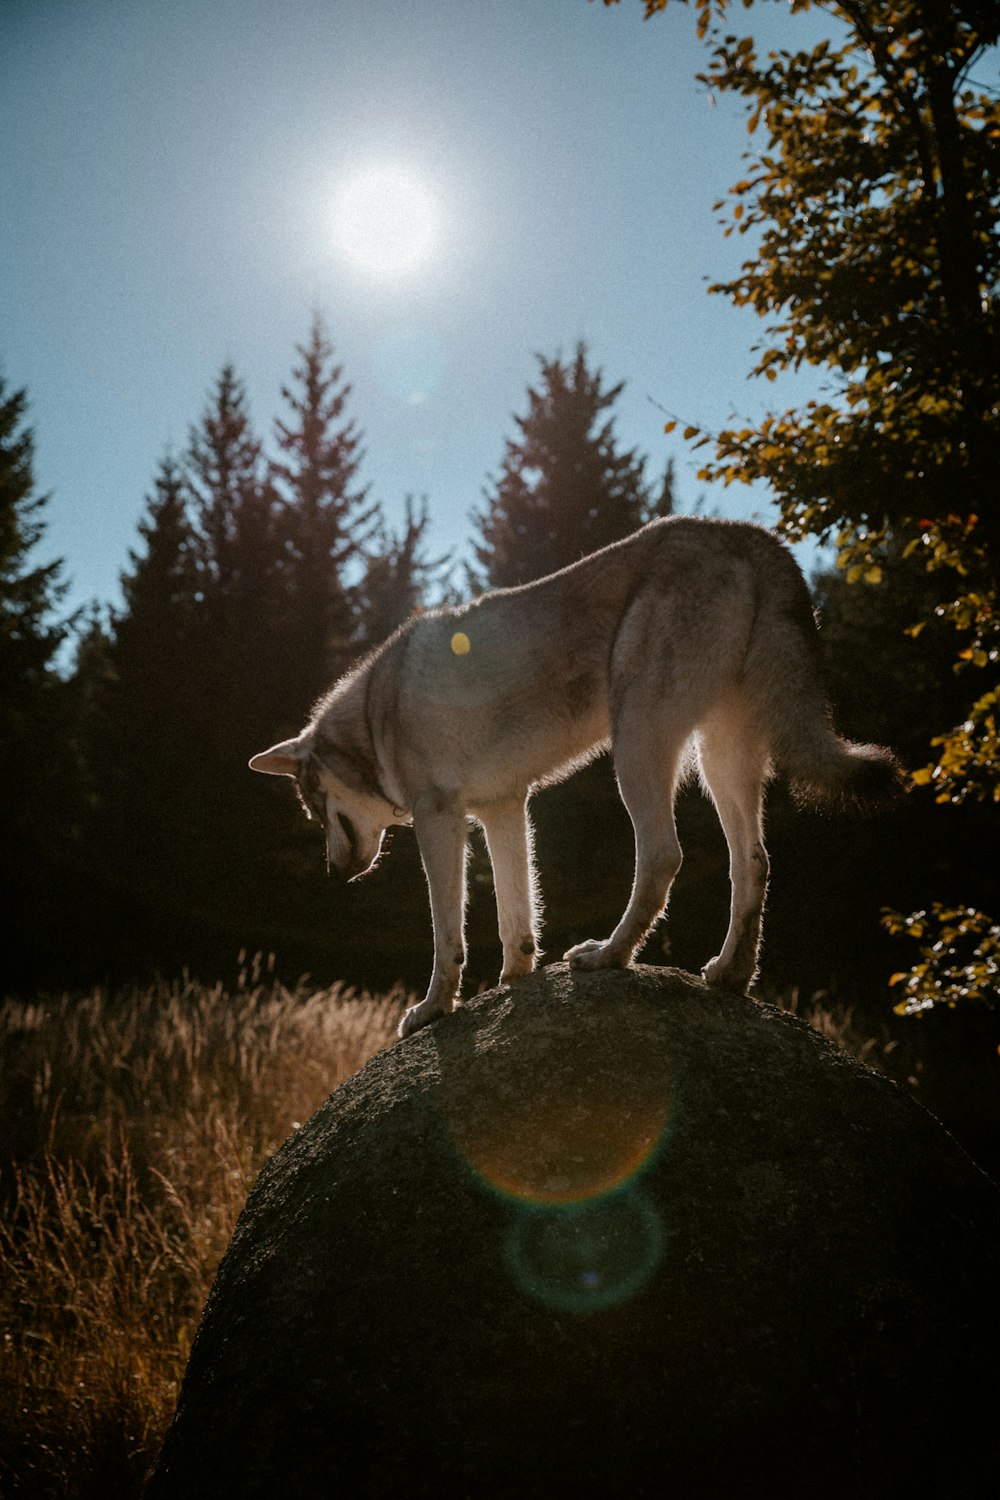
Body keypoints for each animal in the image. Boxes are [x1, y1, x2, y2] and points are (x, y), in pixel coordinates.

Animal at [250, 516, 899, 1032]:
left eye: (313, 809)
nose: (334, 873)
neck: (375, 711)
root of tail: (744, 533)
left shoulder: (442, 821)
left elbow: (447, 937)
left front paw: (434, 1009)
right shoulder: (503, 809)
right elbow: (516, 917)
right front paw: (511, 983)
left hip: (636, 751)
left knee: (664, 857)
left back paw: (608, 955)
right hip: (718, 763)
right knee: (753, 862)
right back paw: (730, 974)